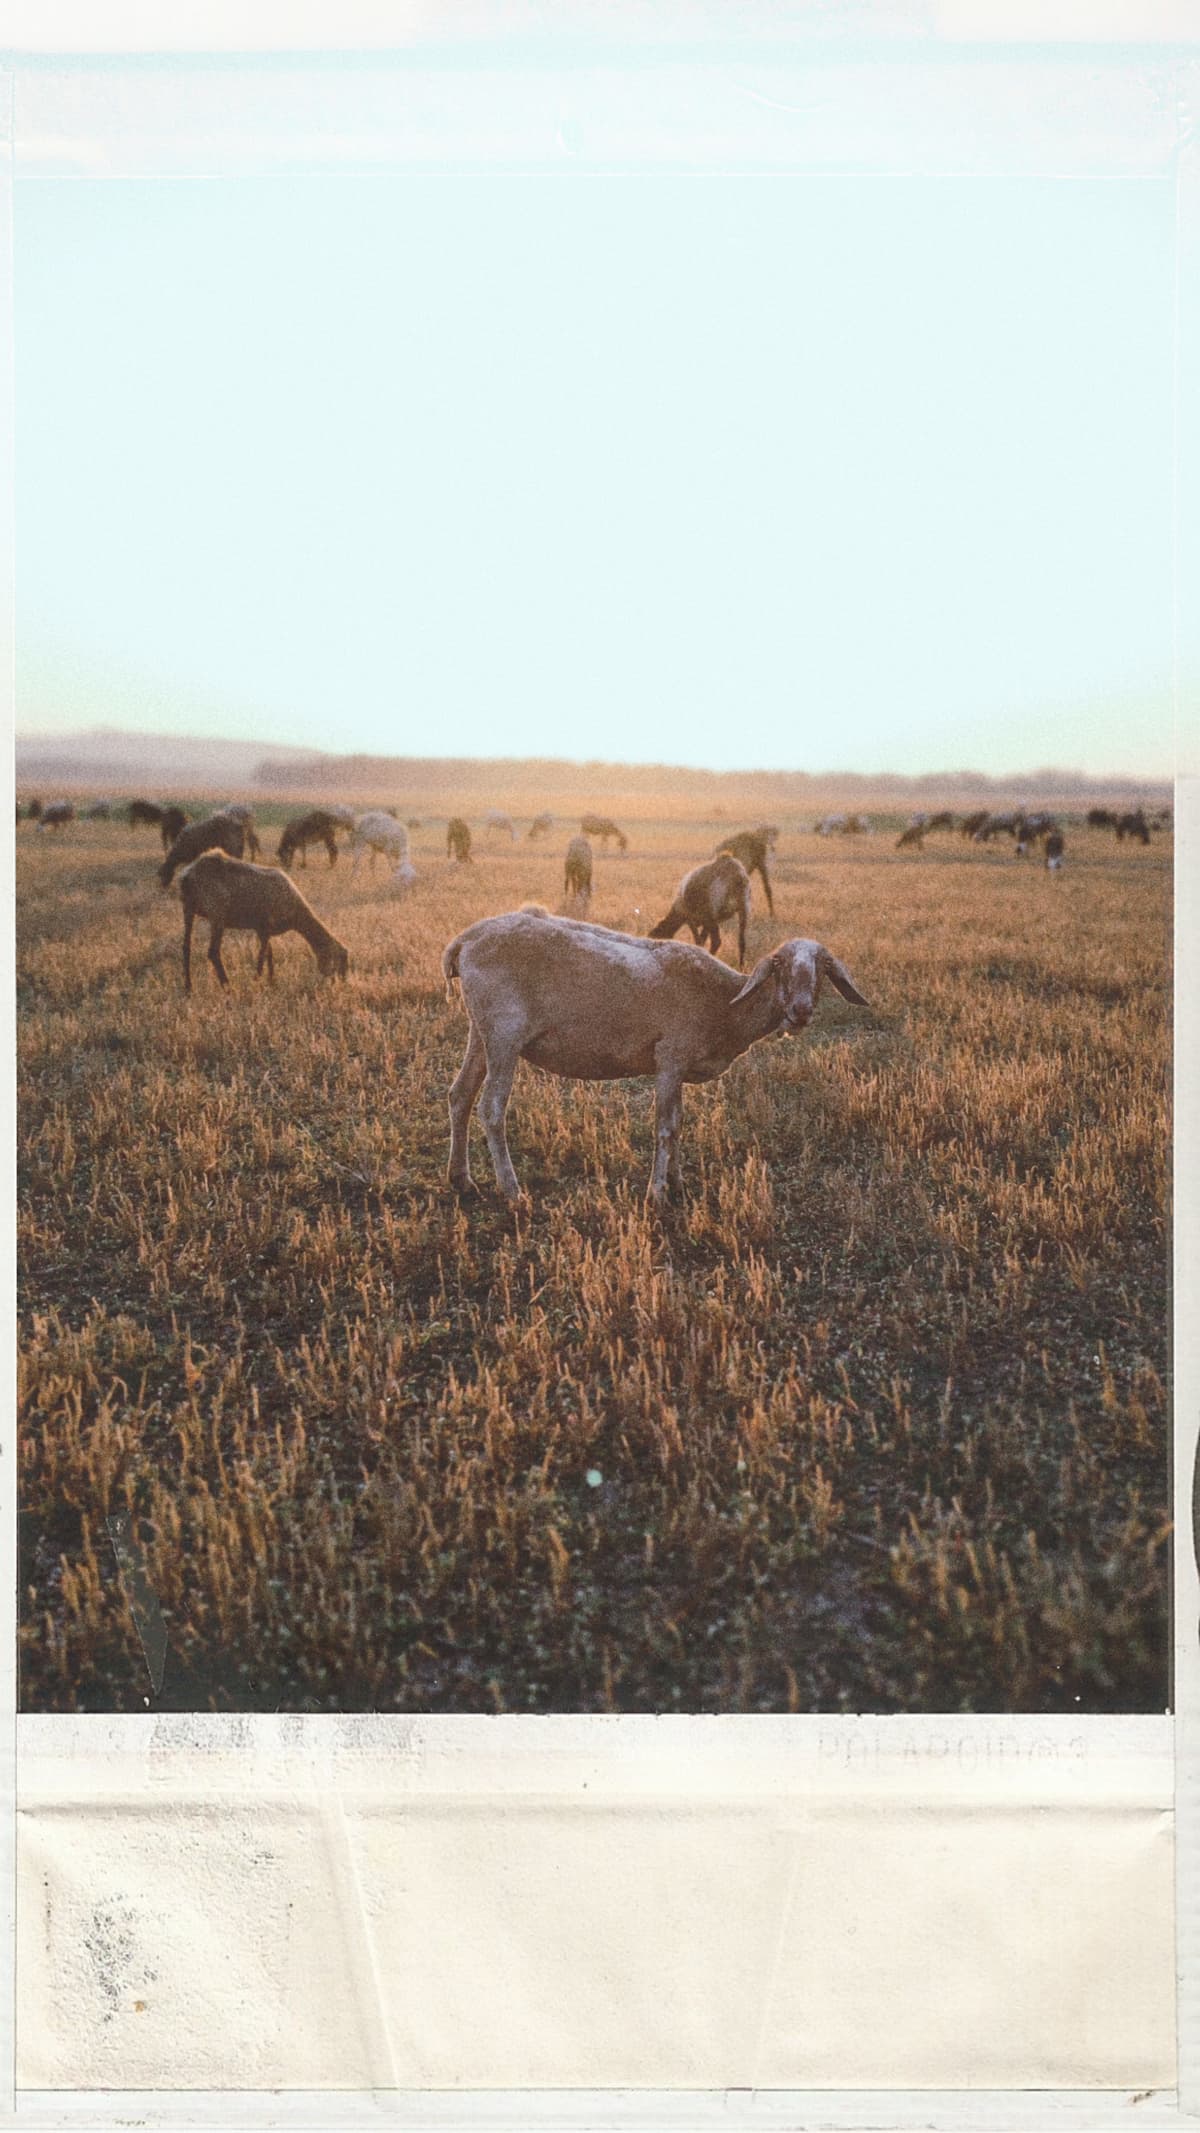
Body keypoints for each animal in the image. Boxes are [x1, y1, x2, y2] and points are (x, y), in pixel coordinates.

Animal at [177, 851, 349, 993]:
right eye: (338, 962)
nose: (338, 986)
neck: (297, 914)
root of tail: (188, 875)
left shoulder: (262, 929)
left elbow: (269, 954)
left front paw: (271, 981)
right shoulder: (266, 926)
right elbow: (262, 956)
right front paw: (257, 981)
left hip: (188, 908)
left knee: (186, 947)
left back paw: (188, 987)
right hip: (217, 913)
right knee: (213, 952)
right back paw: (228, 987)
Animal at [443, 911, 868, 1204]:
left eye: (824, 968)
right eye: (778, 965)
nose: (800, 1011)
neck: (724, 1003)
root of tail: (463, 941)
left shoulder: (679, 1068)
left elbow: (679, 1123)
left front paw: (677, 1183)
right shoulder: (669, 1057)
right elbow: (665, 1125)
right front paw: (657, 1193)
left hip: (480, 1031)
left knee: (459, 1095)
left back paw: (461, 1181)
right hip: (504, 1033)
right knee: (491, 1108)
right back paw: (513, 1191)